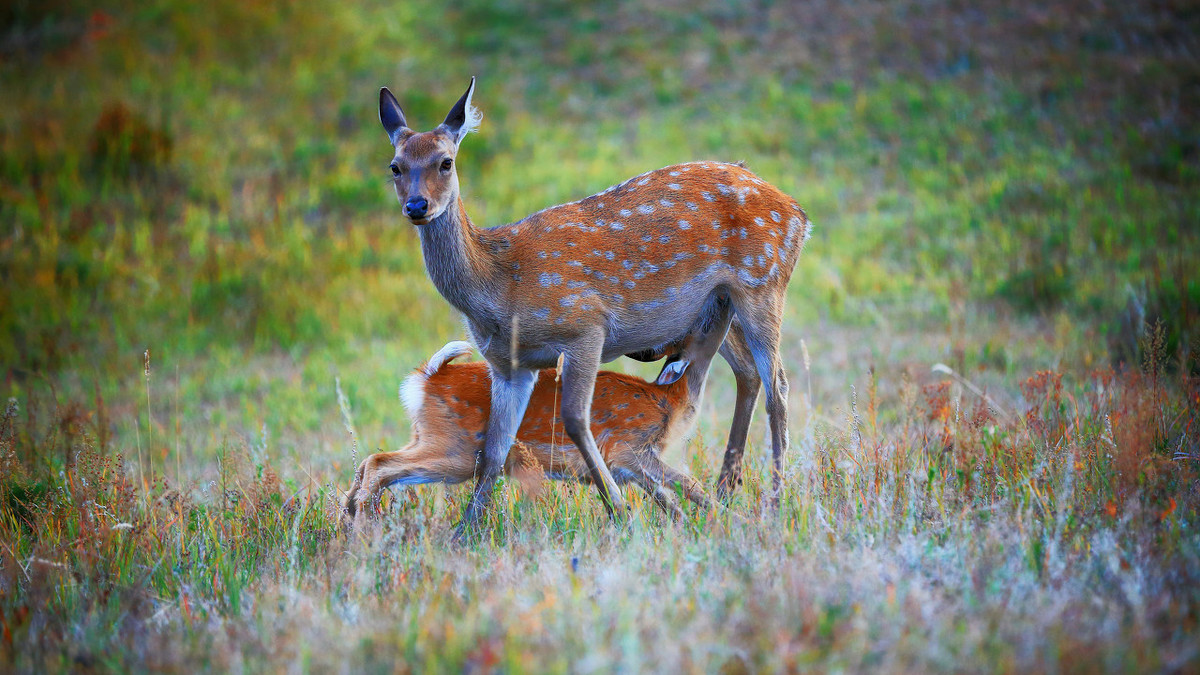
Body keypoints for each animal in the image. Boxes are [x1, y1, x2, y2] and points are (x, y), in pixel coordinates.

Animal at [379, 77, 811, 530]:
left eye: (445, 162)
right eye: (395, 166)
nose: (416, 206)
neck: (498, 288)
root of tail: (798, 213)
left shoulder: (585, 327)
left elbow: (574, 418)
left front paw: (620, 509)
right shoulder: (508, 365)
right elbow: (493, 451)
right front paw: (466, 533)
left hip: (763, 283)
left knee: (778, 385)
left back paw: (775, 501)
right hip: (718, 305)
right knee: (748, 373)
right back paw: (728, 491)